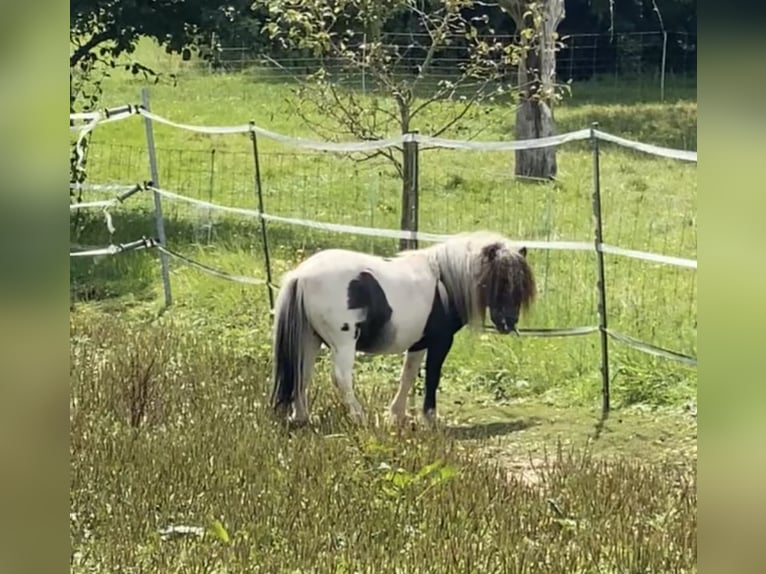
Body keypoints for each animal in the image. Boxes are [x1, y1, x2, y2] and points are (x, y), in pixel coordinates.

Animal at [270, 231, 540, 428]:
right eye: (499, 279)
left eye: (520, 283)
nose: (508, 323)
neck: (444, 280)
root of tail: (301, 275)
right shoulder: (441, 342)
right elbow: (432, 377)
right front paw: (429, 419)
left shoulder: (419, 343)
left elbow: (407, 376)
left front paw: (396, 415)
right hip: (343, 343)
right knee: (341, 378)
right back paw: (359, 417)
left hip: (309, 338)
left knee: (301, 373)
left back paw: (301, 417)